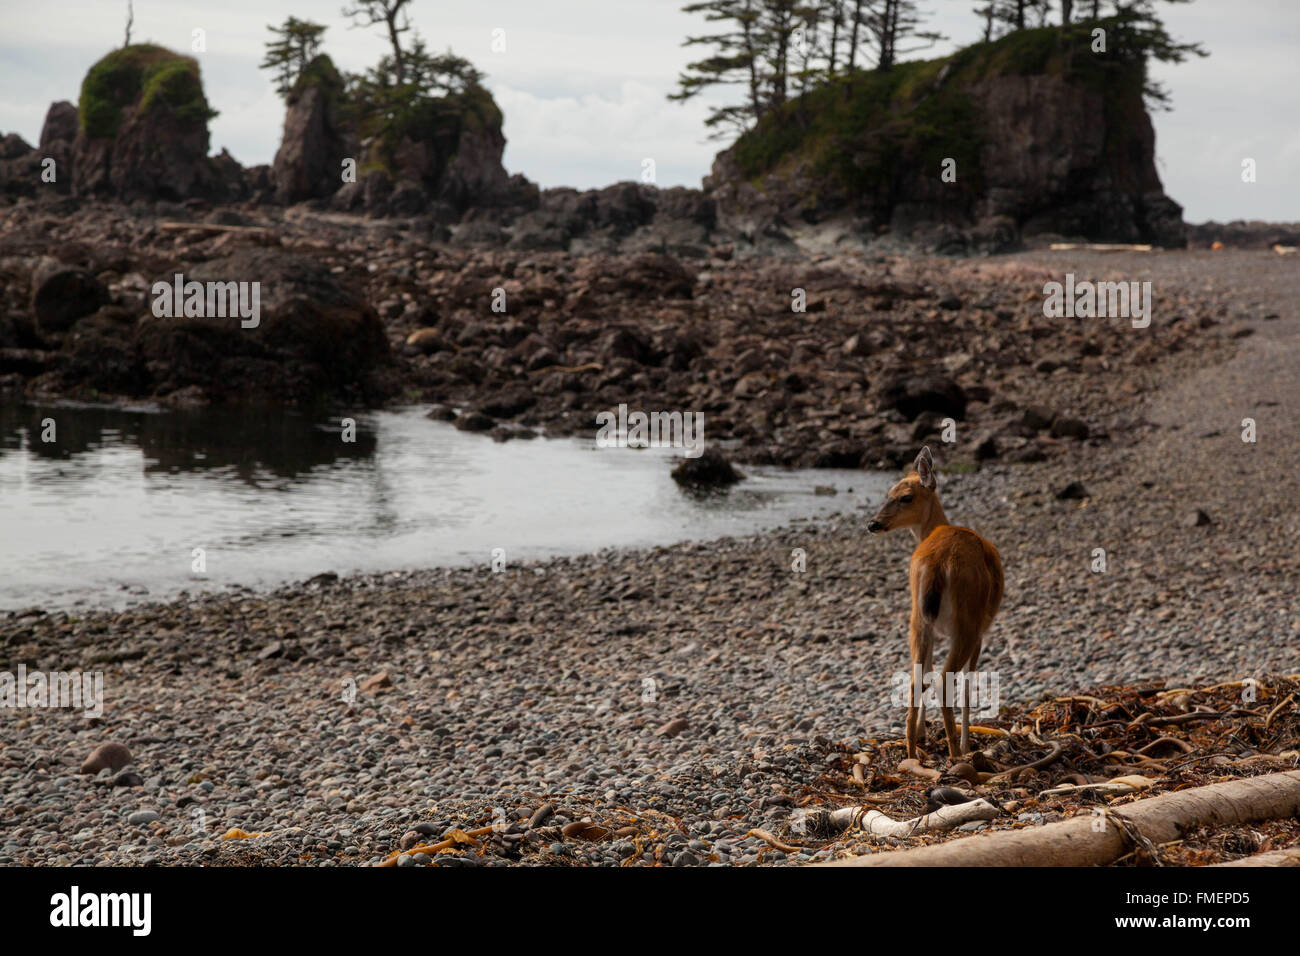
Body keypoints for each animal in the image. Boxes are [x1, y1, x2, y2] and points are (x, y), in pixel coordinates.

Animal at [873, 447, 1003, 764]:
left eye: (904, 496)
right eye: (889, 493)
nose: (873, 523)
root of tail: (937, 563)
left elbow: (927, 673)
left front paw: (923, 732)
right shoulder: (981, 631)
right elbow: (967, 684)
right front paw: (967, 743)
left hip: (917, 617)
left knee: (914, 679)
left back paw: (911, 752)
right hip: (967, 621)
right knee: (946, 681)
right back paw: (957, 753)